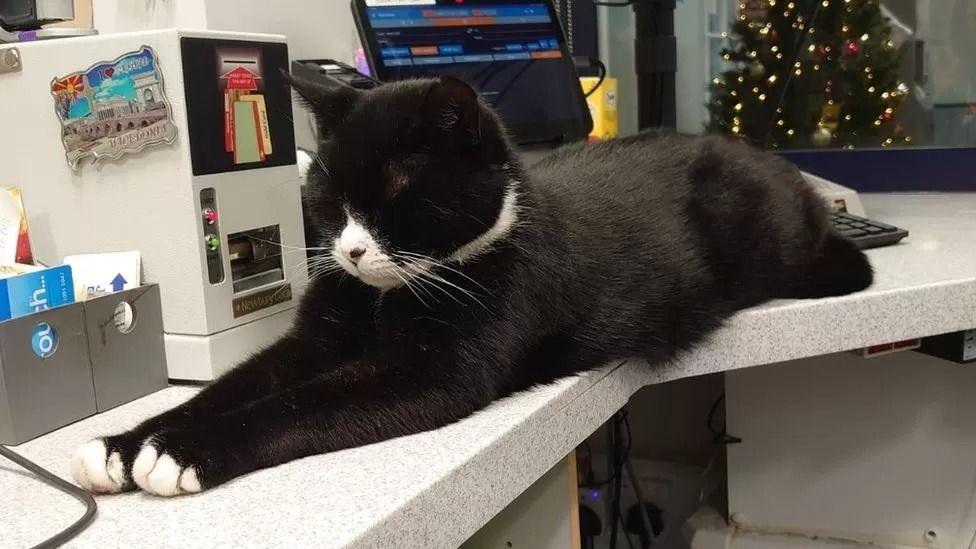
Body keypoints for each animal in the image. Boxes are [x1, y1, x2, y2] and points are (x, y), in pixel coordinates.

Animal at [72, 74, 872, 496]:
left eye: (396, 198)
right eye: (328, 193)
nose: (351, 250)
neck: (386, 297)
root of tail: (755, 152)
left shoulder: (436, 369)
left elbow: (298, 402)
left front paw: (180, 450)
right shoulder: (313, 338)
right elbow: (240, 384)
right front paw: (120, 442)